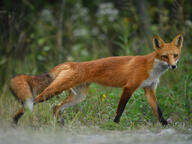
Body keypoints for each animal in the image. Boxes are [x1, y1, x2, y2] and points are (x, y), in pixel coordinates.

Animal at [9, 33, 183, 125]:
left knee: (56, 107)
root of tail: (71, 63)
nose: (174, 66)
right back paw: (14, 122)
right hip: (54, 91)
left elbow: (158, 111)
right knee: (31, 102)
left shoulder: (149, 89)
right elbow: (120, 109)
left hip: (78, 97)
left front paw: (165, 125)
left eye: (175, 55)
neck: (152, 68)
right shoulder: (129, 87)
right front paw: (115, 125)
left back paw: (62, 126)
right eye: (165, 56)